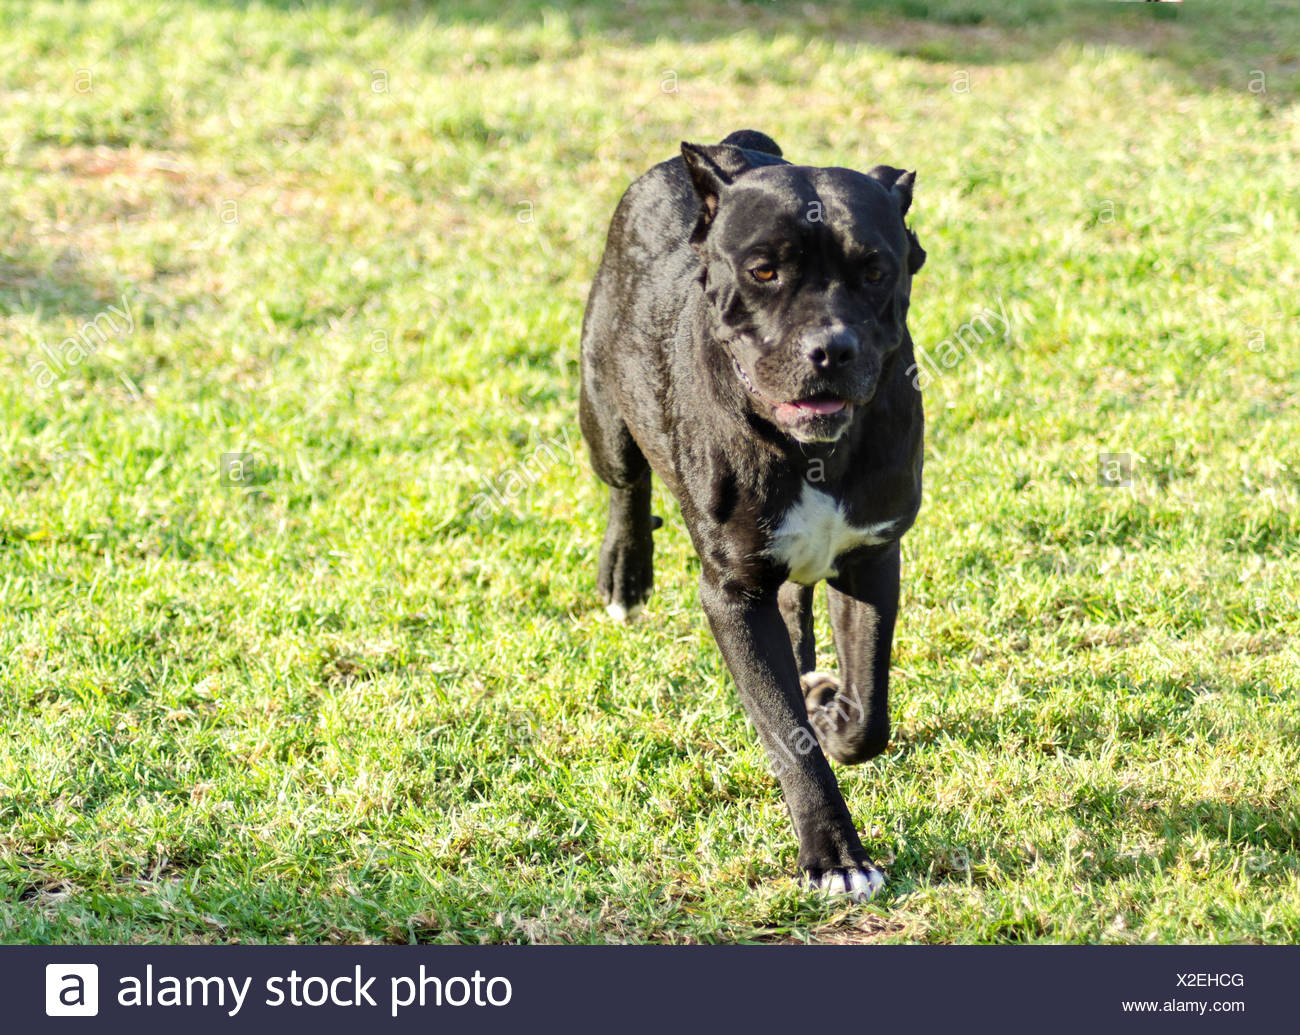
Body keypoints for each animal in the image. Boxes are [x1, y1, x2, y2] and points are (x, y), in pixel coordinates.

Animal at [579, 129, 925, 899]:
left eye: (875, 271)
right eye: (763, 271)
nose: (831, 348)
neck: (809, 453)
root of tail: (729, 147)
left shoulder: (870, 558)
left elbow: (869, 709)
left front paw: (831, 713)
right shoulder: (734, 597)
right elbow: (788, 736)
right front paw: (836, 855)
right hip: (603, 412)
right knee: (627, 481)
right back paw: (625, 573)